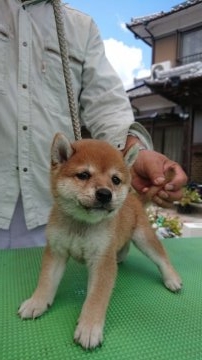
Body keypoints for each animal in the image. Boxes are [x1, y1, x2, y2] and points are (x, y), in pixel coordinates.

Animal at [18, 132, 181, 348]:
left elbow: (96, 297)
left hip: (143, 238)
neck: (81, 224)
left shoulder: (102, 260)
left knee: (161, 257)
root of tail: (135, 199)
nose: (105, 194)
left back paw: (171, 278)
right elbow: (46, 281)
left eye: (115, 179)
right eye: (83, 175)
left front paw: (89, 327)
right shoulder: (56, 251)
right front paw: (36, 302)